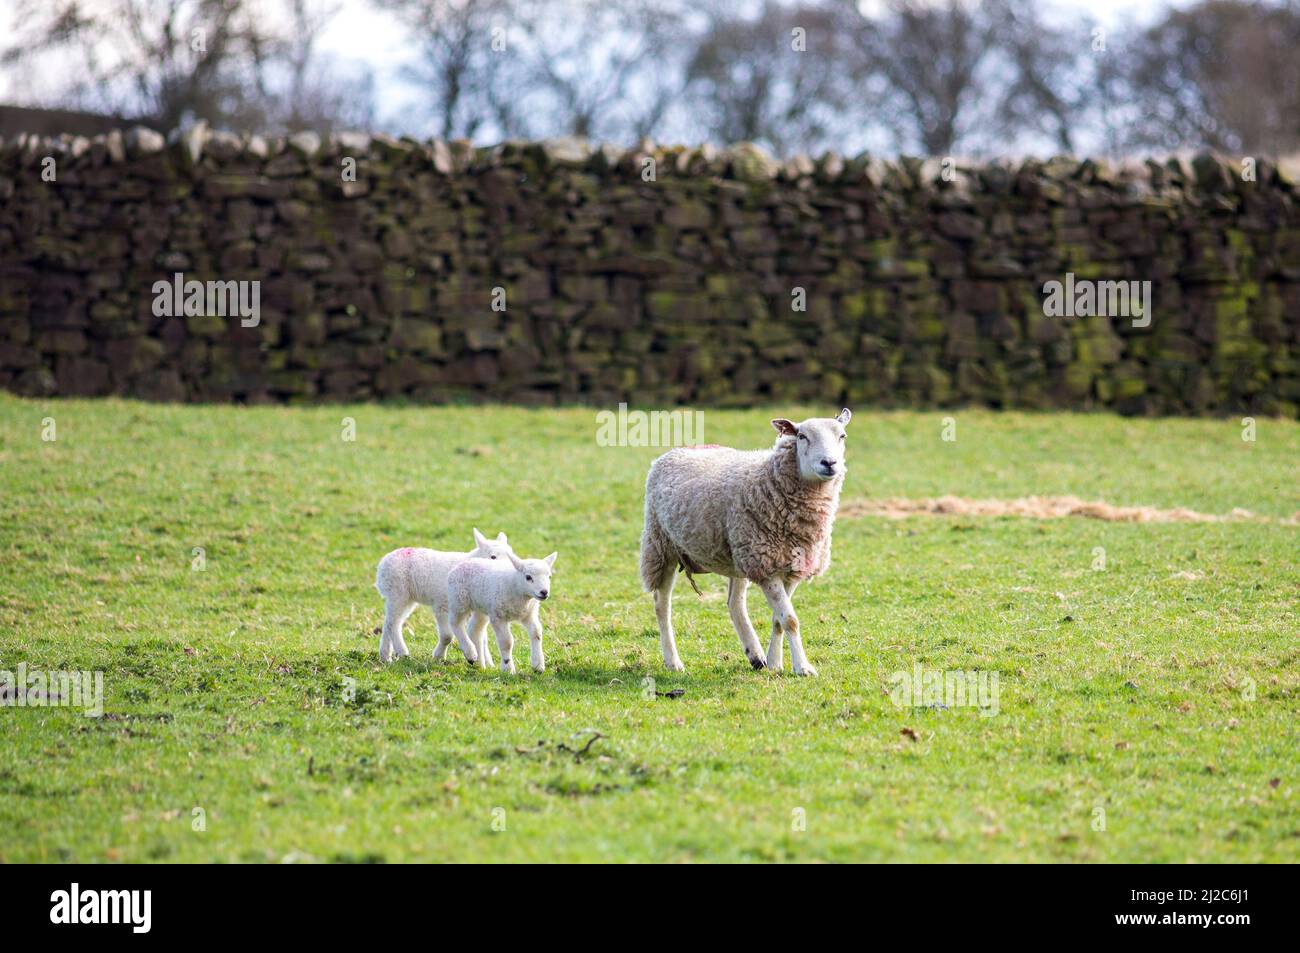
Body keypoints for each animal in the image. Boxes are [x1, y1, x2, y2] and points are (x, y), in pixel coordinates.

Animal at [374, 529, 513, 663]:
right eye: (493, 556)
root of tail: (382, 564)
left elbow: (482, 638)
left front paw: (489, 663)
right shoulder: (441, 604)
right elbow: (447, 636)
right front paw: (440, 656)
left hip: (406, 598)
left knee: (389, 621)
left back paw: (385, 656)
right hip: (398, 592)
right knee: (393, 623)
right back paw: (402, 652)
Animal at [639, 409, 852, 676]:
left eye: (842, 436)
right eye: (802, 436)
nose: (829, 463)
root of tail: (681, 449)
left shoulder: (791, 566)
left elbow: (778, 619)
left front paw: (775, 663)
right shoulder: (766, 565)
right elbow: (790, 619)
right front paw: (802, 668)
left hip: (737, 556)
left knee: (734, 603)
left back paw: (756, 656)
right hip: (661, 544)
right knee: (662, 604)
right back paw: (673, 661)